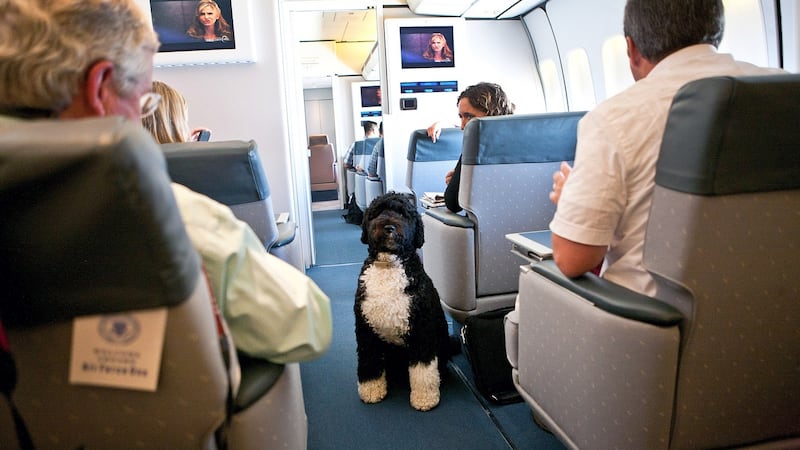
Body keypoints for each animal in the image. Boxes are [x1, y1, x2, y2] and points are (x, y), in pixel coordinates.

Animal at [354, 192, 450, 410]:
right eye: (377, 212)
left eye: (403, 214)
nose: (388, 227)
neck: (388, 266)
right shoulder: (365, 330)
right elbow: (369, 361)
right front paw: (371, 390)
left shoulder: (421, 331)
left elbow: (423, 370)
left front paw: (424, 398)